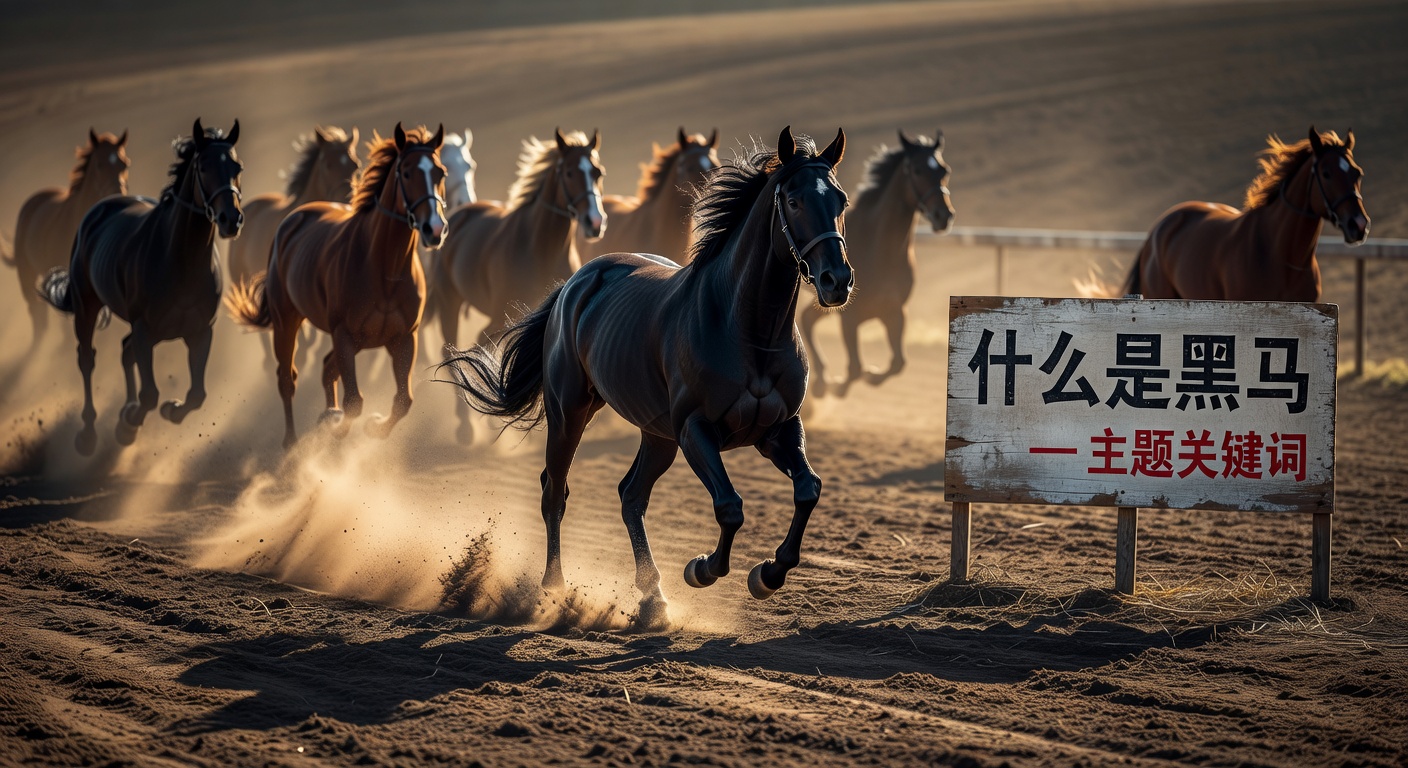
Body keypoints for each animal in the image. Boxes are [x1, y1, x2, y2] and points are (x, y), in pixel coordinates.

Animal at [40, 119, 244, 456]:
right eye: (203, 166)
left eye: (237, 167)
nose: (231, 219)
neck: (182, 262)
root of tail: (100, 208)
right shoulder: (145, 329)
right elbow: (149, 394)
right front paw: (128, 422)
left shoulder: (201, 331)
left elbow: (197, 394)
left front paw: (167, 410)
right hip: (86, 306)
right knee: (87, 359)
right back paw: (88, 434)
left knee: (125, 351)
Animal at [226, 123, 446, 448]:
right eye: (406, 173)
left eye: (440, 173)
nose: (435, 228)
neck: (385, 268)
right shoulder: (344, 335)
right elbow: (353, 401)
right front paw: (335, 425)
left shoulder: (404, 338)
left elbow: (403, 401)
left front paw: (372, 427)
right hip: (286, 321)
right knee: (287, 377)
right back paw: (291, 440)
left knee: (326, 368)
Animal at [427, 129, 606, 443]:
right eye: (570, 172)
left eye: (597, 172)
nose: (594, 222)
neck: (540, 246)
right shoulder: (504, 314)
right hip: (450, 304)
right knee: (451, 352)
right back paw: (465, 427)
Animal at [800, 129, 953, 397]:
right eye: (917, 170)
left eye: (944, 170)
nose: (943, 216)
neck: (880, 250)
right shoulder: (849, 315)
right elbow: (854, 369)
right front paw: (837, 386)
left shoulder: (894, 310)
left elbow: (898, 363)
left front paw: (871, 376)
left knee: (806, 319)